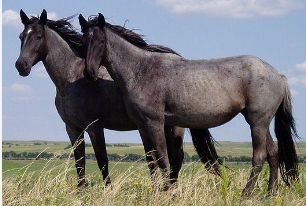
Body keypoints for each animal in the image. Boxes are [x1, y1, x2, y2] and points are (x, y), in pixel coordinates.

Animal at [78, 13, 298, 196]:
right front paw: (155, 191)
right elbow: (151, 160)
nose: (89, 73)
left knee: (259, 156)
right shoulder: (142, 126)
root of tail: (278, 75)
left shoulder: (155, 123)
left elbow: (163, 158)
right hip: (261, 122)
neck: (140, 71)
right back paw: (271, 192)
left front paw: (167, 192)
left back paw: (246, 193)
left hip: (257, 122)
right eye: (83, 42)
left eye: (101, 41)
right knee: (273, 153)